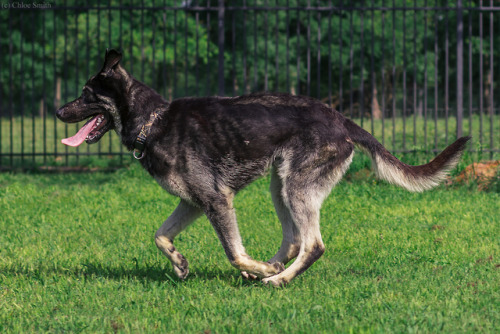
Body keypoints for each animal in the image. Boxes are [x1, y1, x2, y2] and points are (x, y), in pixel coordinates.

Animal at [56, 49, 470, 288]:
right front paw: (180, 265)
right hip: (279, 183)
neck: (154, 122)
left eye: (86, 94)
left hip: (295, 186)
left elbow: (233, 251)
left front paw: (257, 270)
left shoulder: (216, 202)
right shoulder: (193, 203)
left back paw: (276, 277)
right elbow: (160, 236)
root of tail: (341, 120)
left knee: (313, 245)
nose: (59, 111)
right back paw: (268, 267)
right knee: (294, 240)